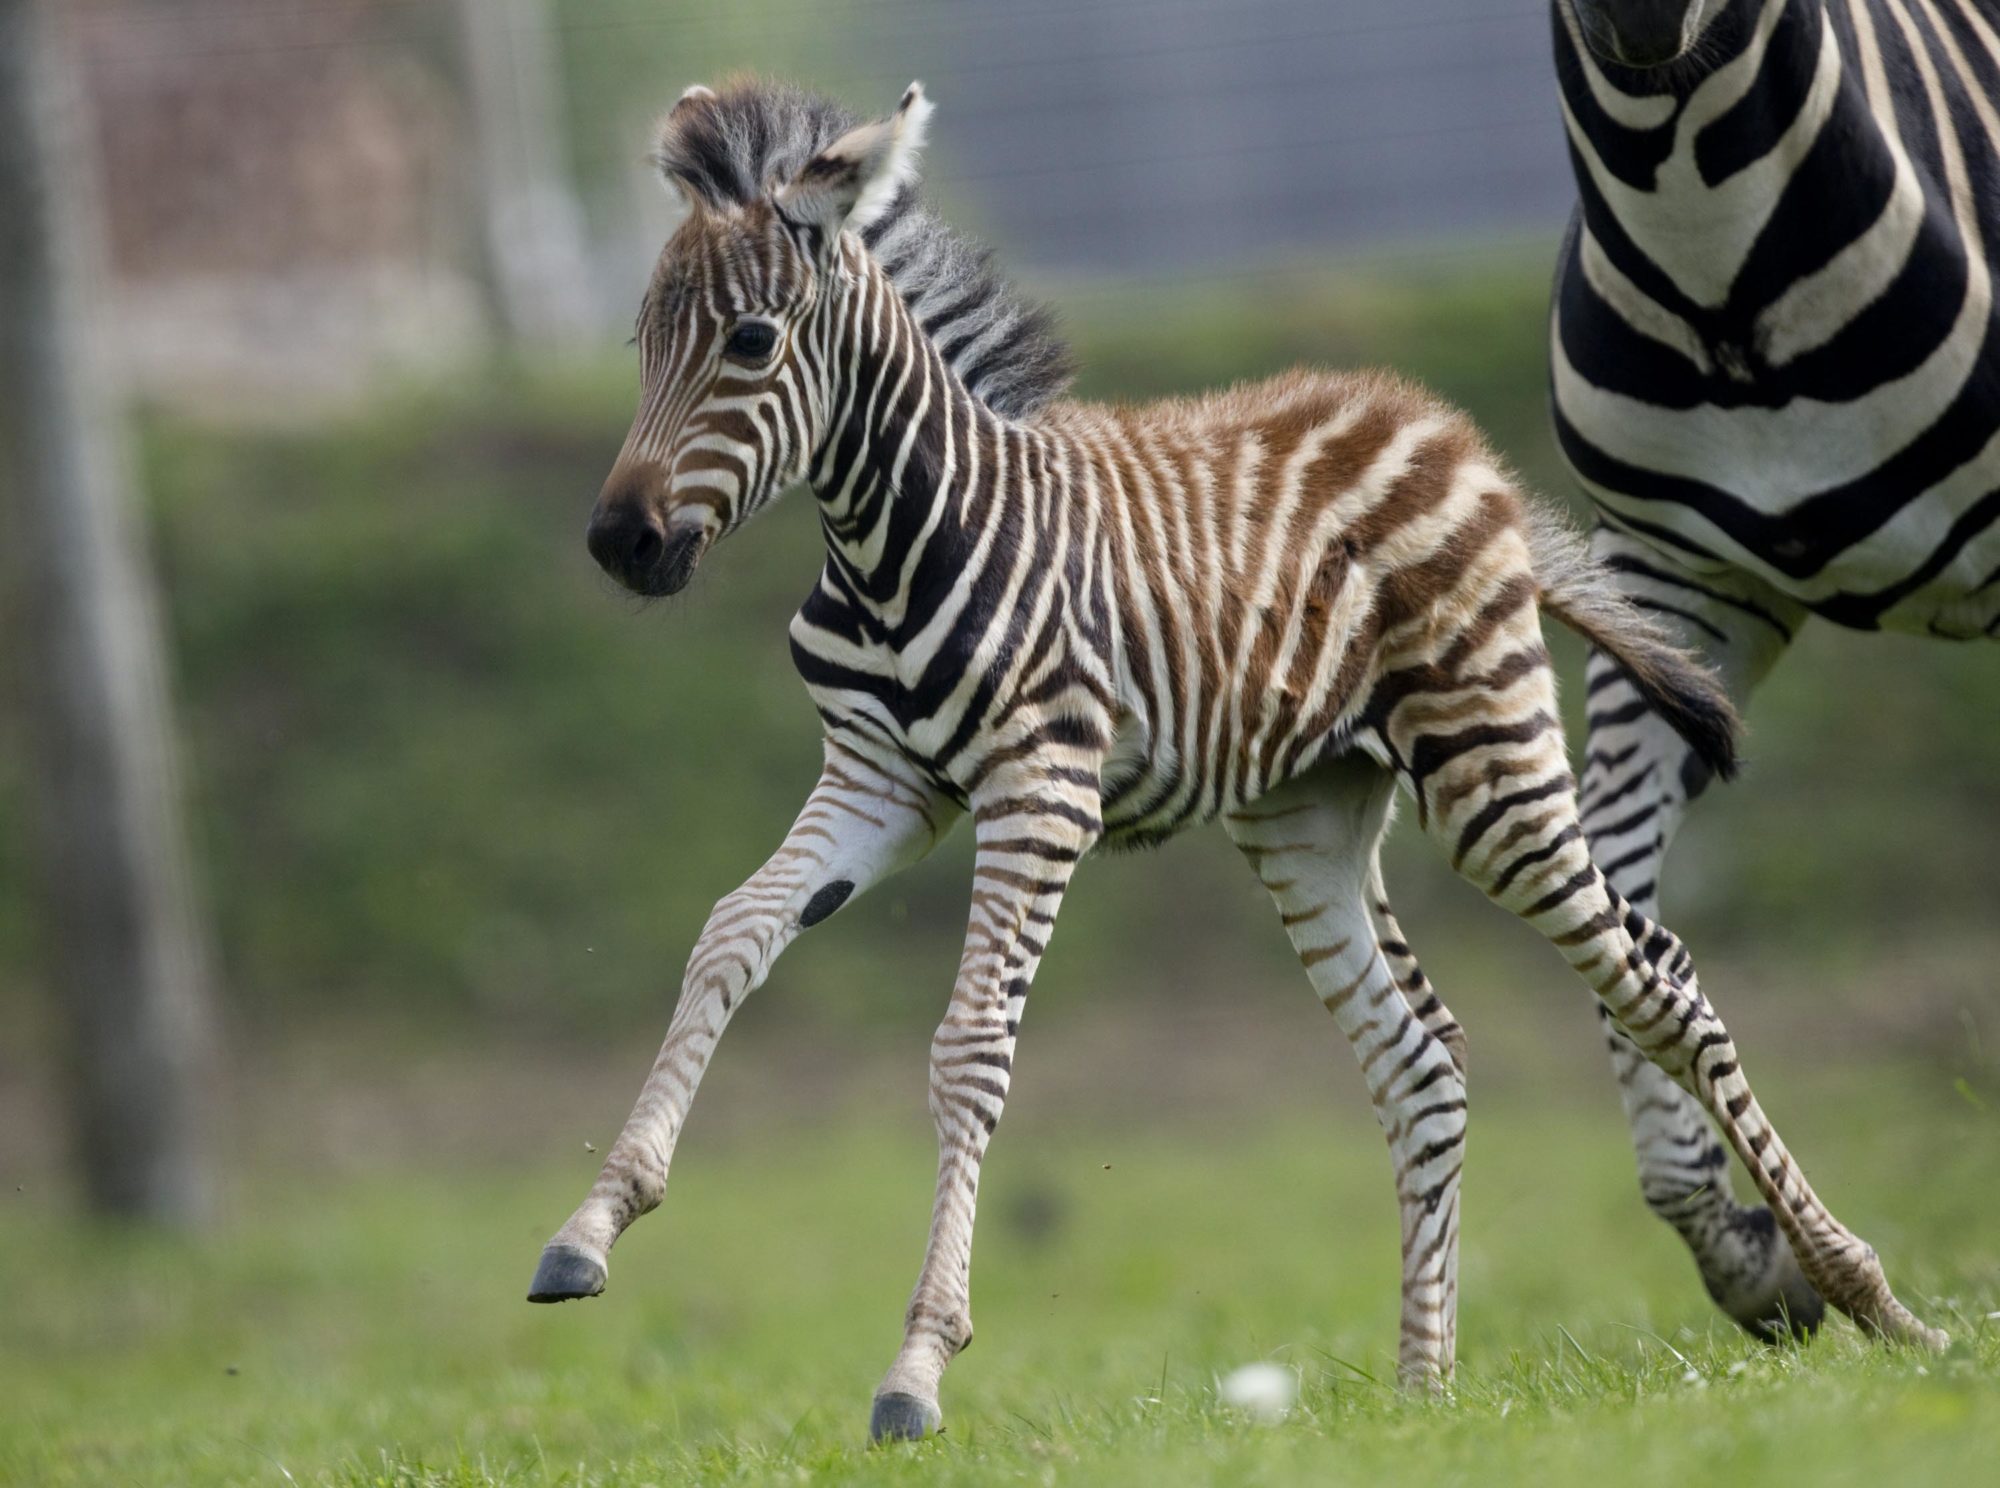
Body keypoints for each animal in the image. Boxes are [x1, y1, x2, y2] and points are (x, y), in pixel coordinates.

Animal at [524, 75, 1944, 1432]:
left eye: (751, 342)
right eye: (643, 342)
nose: (618, 545)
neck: (894, 542)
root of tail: (1442, 430)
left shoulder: (1039, 785)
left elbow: (970, 1044)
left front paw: (916, 1370)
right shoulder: (879, 783)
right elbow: (729, 935)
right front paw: (590, 1228)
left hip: (1490, 777)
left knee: (1659, 988)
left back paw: (1873, 1301)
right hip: (1307, 815)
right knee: (1423, 1060)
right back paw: (1422, 1393)